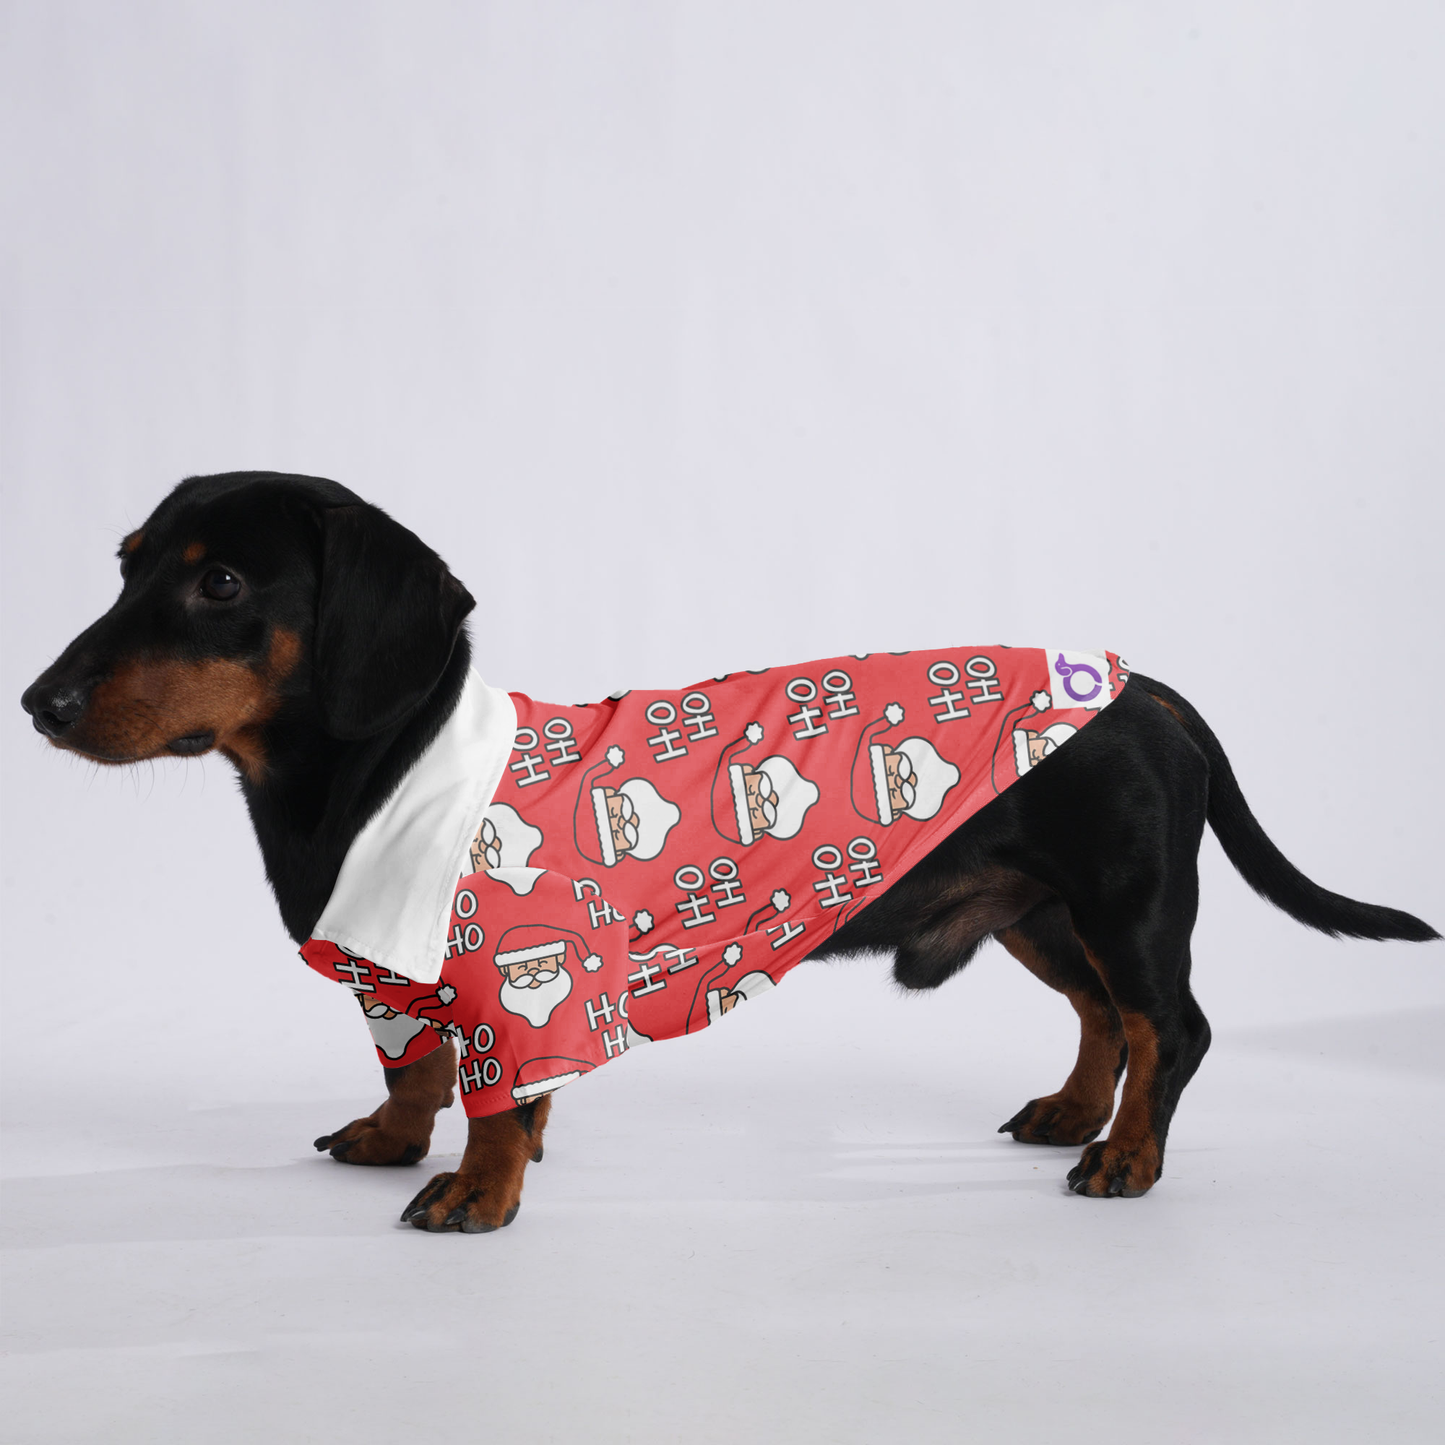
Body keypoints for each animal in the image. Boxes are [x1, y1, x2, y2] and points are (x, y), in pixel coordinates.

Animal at [21, 471, 1438, 1233]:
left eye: (218, 585)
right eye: (128, 564)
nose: (38, 701)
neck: (388, 772)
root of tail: (1147, 690)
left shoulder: (514, 984)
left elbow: (491, 1095)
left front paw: (478, 1190)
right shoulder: (405, 983)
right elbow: (415, 1065)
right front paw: (391, 1132)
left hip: (1127, 902)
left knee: (1168, 1026)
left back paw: (1126, 1156)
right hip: (1037, 913)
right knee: (1106, 1020)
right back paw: (1072, 1113)